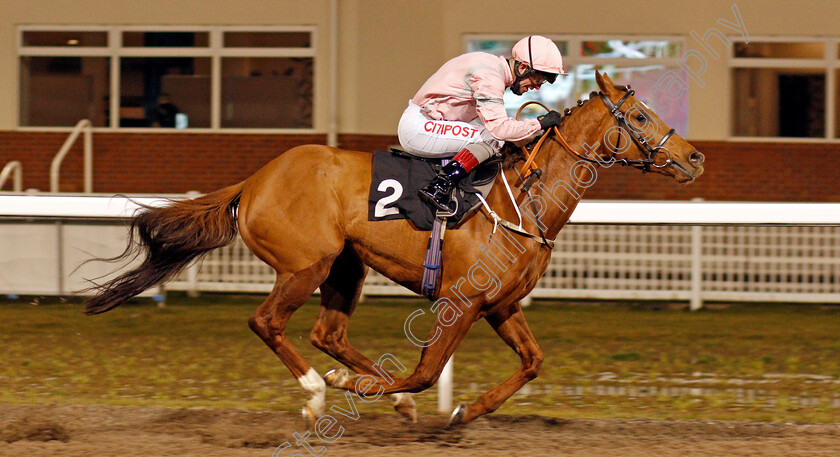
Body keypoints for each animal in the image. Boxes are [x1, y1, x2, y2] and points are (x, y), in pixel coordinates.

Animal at [87, 71, 704, 424]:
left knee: (327, 334)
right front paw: (358, 388)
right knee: (268, 323)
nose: (695, 157)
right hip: (304, 265)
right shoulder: (461, 301)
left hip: (345, 267)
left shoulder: (501, 304)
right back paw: (317, 391)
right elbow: (426, 371)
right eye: (641, 115)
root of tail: (257, 179)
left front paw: (467, 409)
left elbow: (531, 362)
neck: (521, 201)